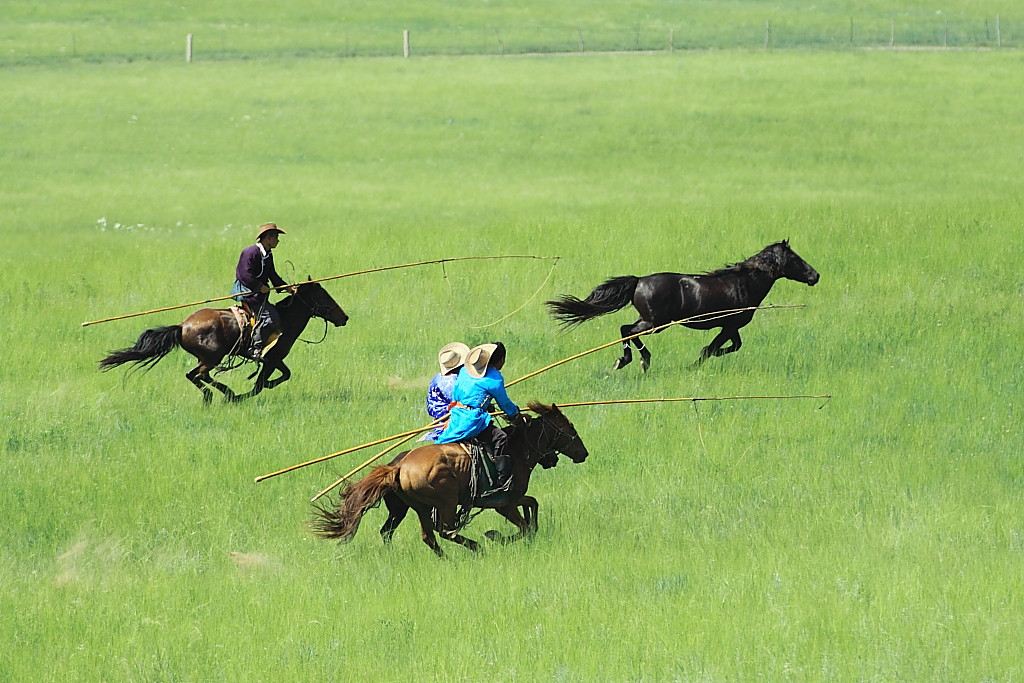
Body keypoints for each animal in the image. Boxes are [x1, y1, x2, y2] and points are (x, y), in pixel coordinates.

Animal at [99, 282, 348, 403]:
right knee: (198, 374)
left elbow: (283, 376)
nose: (344, 317)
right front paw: (243, 396)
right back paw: (225, 395)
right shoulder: (270, 360)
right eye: (323, 295)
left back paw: (218, 395)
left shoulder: (275, 360)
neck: (285, 320)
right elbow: (261, 385)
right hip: (212, 357)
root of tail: (182, 326)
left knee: (197, 375)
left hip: (206, 358)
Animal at [307, 403, 589, 557]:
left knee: (425, 536)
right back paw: (477, 547)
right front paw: (495, 536)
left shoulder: (515, 499)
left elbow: (532, 505)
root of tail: (399, 467)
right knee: (445, 530)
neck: (517, 449)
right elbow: (523, 525)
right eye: (570, 428)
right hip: (446, 502)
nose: (583, 454)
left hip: (416, 507)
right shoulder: (504, 504)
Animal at [548, 241, 819, 370]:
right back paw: (636, 360)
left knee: (626, 329)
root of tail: (638, 281)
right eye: (795, 258)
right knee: (627, 330)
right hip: (656, 322)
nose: (815, 276)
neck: (745, 282)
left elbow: (733, 347)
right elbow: (712, 349)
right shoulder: (729, 326)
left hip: (650, 320)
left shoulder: (732, 328)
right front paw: (694, 364)